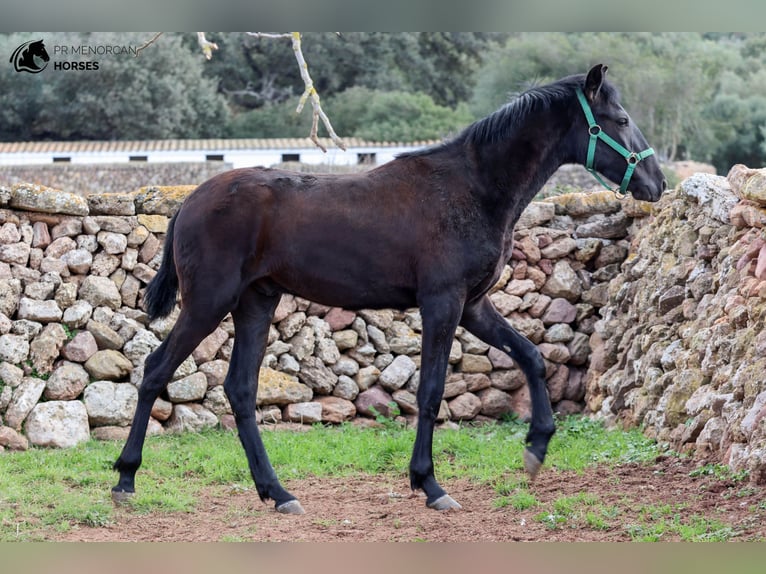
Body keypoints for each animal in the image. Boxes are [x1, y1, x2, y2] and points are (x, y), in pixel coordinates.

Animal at [112, 65, 664, 516]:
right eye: (618, 118)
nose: (656, 183)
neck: (472, 188)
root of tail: (189, 202)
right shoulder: (442, 303)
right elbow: (431, 390)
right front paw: (430, 484)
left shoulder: (474, 306)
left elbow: (531, 356)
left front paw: (536, 447)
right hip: (208, 303)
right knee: (155, 371)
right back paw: (125, 479)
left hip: (255, 303)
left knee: (241, 390)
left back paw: (278, 492)